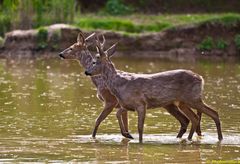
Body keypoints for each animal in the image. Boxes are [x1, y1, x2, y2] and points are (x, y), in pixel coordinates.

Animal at [85, 36, 223, 143]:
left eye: (94, 62)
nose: (86, 72)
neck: (120, 85)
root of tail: (201, 78)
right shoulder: (126, 104)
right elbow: (118, 114)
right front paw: (127, 134)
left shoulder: (141, 103)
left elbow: (140, 127)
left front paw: (139, 141)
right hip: (182, 102)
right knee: (194, 118)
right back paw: (189, 139)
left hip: (193, 97)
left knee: (213, 113)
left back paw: (219, 138)